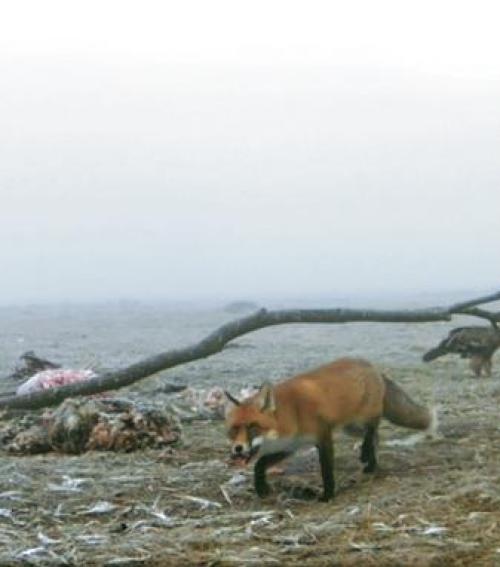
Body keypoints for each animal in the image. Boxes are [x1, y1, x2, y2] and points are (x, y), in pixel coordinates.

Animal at [225, 358, 436, 504]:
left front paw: (328, 495)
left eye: (253, 427)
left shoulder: (323, 436)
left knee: (373, 429)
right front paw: (261, 488)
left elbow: (326, 470)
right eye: (233, 430)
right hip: (350, 428)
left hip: (365, 417)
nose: (237, 449)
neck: (293, 413)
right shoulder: (290, 446)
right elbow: (260, 464)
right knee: (376, 437)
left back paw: (366, 455)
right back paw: (371, 464)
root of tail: (370, 364)